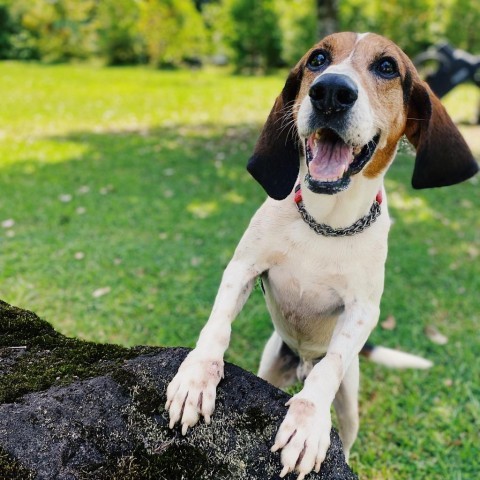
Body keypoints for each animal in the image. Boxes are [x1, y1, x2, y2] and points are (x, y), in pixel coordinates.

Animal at [164, 31, 476, 478]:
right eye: (318, 59)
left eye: (387, 67)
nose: (330, 92)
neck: (326, 223)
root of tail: (301, 361)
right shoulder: (243, 268)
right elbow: (217, 326)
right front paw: (195, 379)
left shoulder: (362, 311)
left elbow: (331, 367)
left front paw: (307, 421)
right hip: (271, 366)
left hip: (349, 400)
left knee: (342, 423)